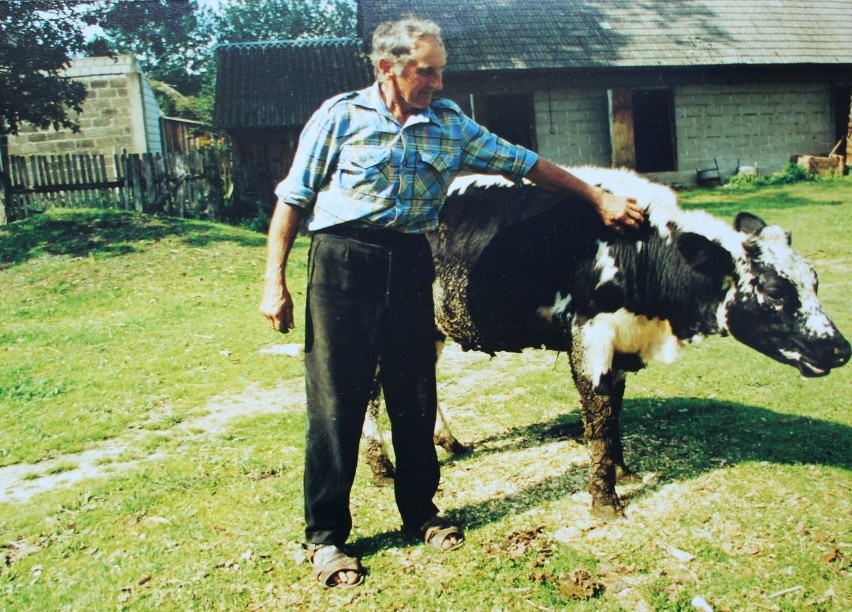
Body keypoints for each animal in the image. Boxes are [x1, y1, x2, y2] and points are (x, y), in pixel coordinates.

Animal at [362, 167, 848, 516]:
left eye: (815, 281)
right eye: (775, 291)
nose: (840, 348)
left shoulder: (622, 342)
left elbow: (615, 409)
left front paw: (622, 470)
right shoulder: (590, 334)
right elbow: (597, 413)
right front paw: (604, 498)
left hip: (432, 326)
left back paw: (448, 441)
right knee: (370, 392)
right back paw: (383, 469)